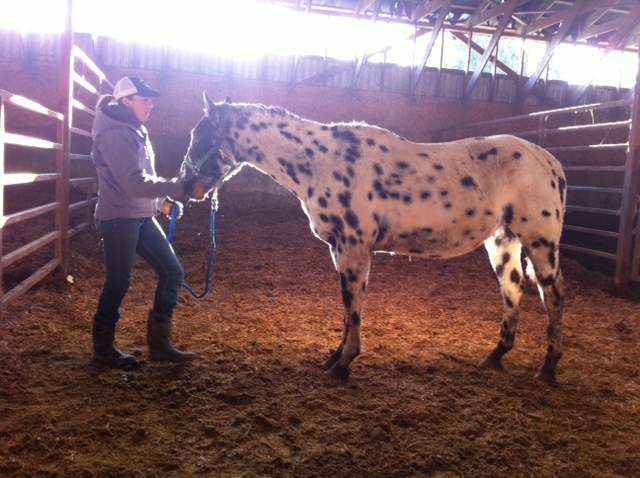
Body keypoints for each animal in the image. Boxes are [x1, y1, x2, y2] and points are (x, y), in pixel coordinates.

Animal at [185, 94, 567, 384]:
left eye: (200, 136)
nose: (186, 186)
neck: (322, 163)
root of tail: (550, 162)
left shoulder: (354, 247)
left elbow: (353, 304)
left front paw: (343, 364)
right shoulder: (338, 249)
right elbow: (346, 306)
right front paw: (334, 357)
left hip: (540, 241)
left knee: (553, 295)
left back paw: (548, 370)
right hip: (503, 241)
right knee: (512, 289)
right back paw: (495, 356)